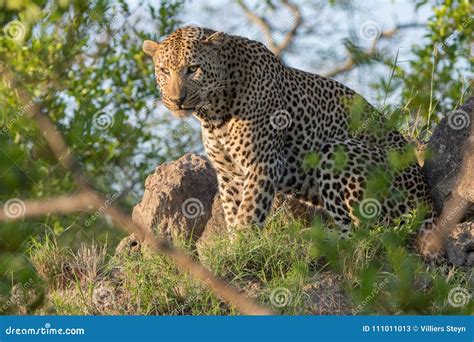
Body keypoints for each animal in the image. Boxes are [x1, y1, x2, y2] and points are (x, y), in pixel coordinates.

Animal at [143, 24, 438, 256]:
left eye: (193, 69)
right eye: (164, 71)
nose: (176, 99)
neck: (214, 114)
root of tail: (429, 206)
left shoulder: (262, 164)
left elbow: (248, 213)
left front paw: (240, 250)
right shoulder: (229, 174)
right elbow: (233, 211)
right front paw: (234, 246)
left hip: (338, 151)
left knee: (367, 237)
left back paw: (318, 241)